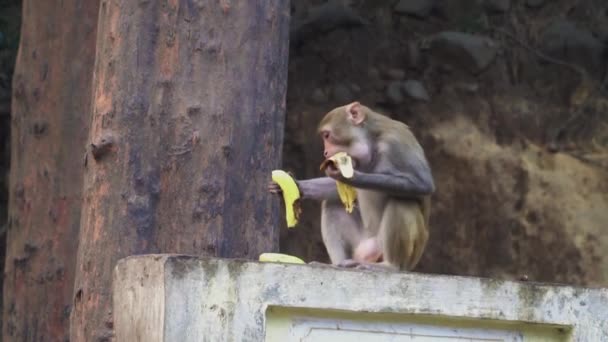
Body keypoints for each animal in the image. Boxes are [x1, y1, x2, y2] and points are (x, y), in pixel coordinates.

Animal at [270, 100, 432, 272]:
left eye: (327, 135)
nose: (325, 152)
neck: (373, 142)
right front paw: (297, 186)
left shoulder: (396, 142)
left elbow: (422, 184)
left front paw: (351, 176)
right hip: (361, 245)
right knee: (332, 204)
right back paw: (338, 264)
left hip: (402, 253)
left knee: (402, 202)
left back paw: (390, 265)